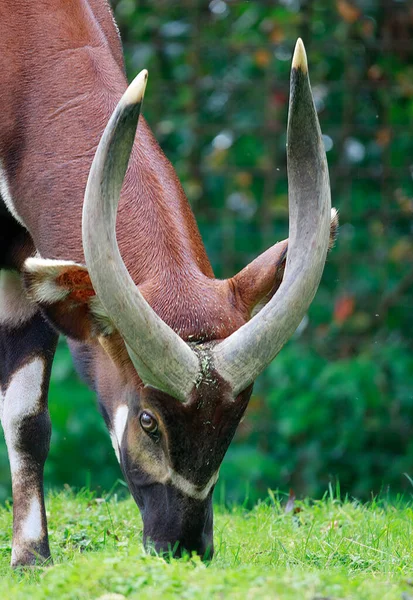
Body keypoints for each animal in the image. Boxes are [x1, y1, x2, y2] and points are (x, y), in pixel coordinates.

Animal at [0, 0, 334, 564]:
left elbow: (26, 418)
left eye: (235, 416)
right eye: (148, 419)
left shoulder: (27, 260)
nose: (183, 544)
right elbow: (26, 419)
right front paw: (30, 557)